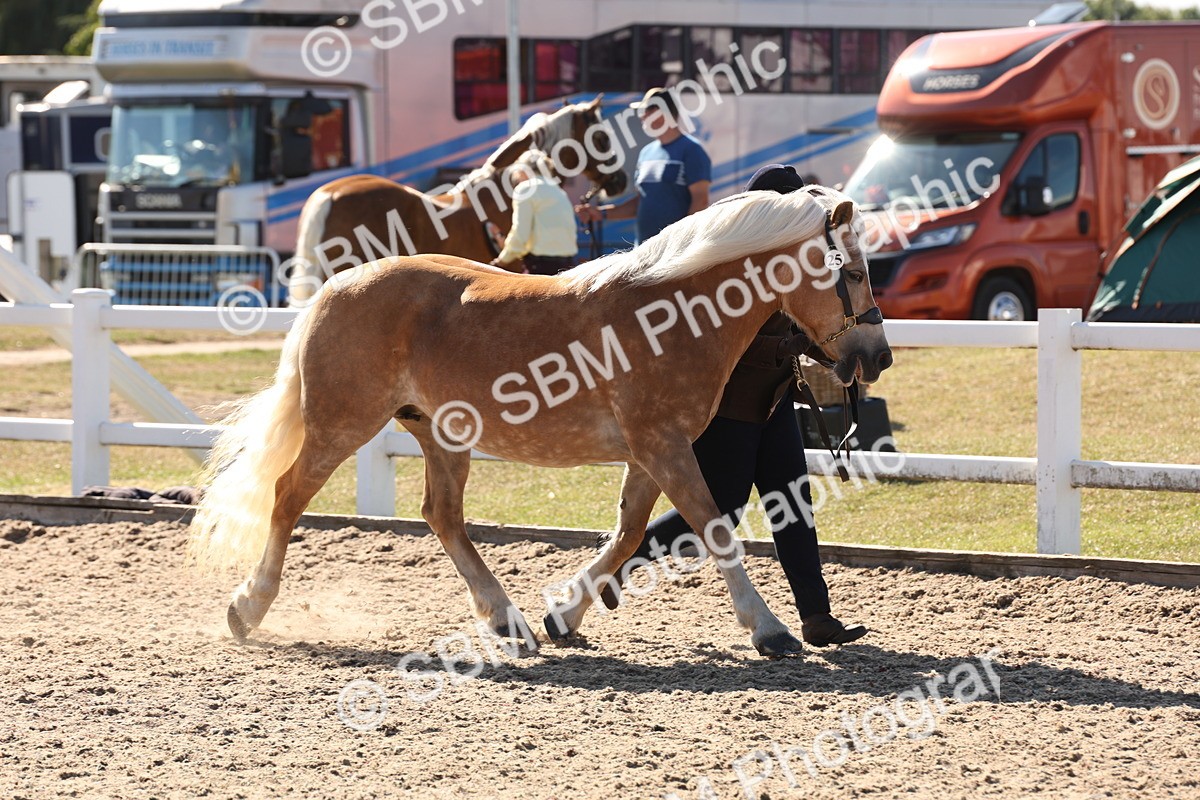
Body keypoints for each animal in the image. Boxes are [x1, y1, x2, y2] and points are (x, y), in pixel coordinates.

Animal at [189, 185, 893, 657]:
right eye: (855, 273)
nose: (877, 358)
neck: (672, 313)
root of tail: (335, 289)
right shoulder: (663, 445)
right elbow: (714, 529)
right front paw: (771, 631)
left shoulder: (650, 453)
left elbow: (629, 533)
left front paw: (564, 615)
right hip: (341, 425)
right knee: (286, 497)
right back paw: (247, 608)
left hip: (439, 434)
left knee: (443, 517)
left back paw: (510, 623)